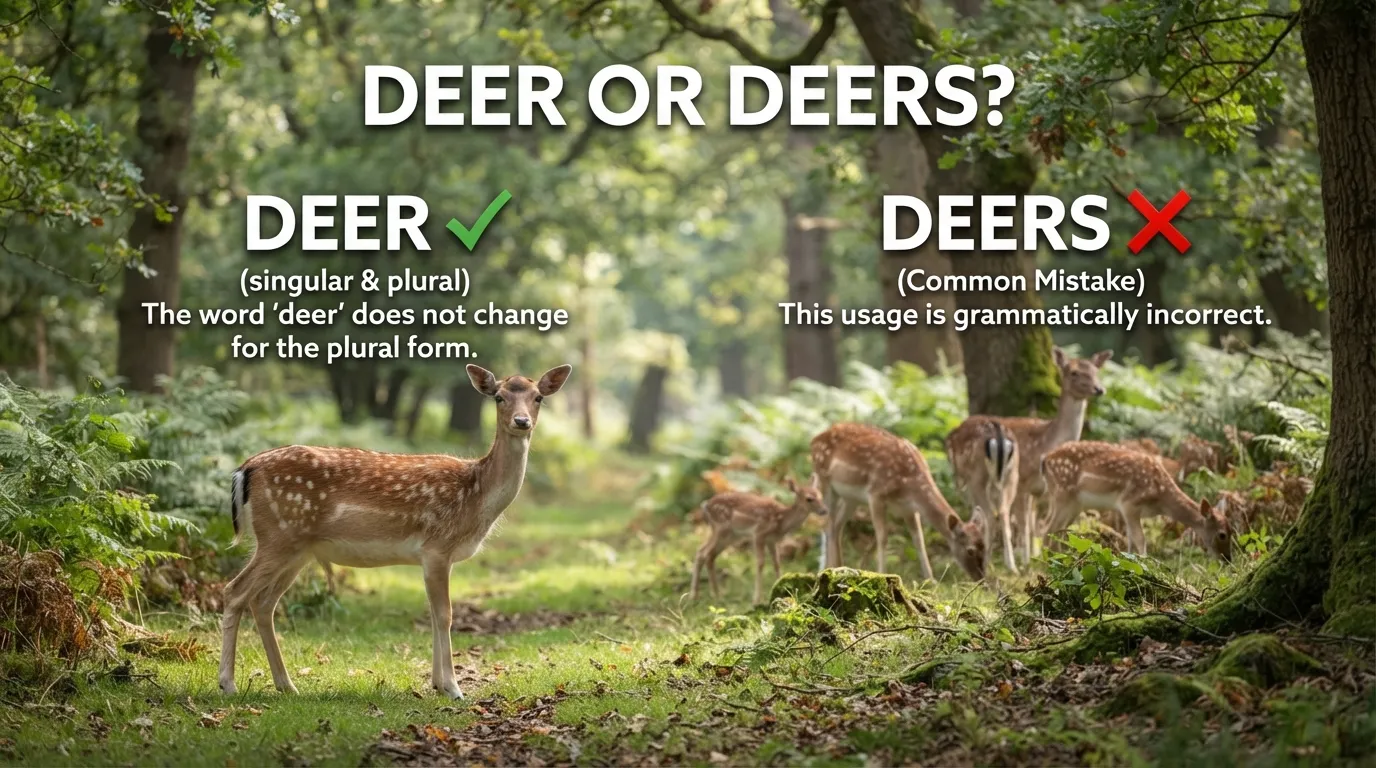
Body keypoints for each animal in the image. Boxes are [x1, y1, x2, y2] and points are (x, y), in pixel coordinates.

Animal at [219, 363, 572, 700]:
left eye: (538, 397)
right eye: (499, 397)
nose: (521, 421)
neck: (476, 495)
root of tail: (245, 469)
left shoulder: (435, 557)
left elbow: (433, 615)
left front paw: (437, 684)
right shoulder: (437, 547)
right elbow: (445, 614)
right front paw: (454, 688)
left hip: (297, 549)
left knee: (263, 602)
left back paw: (286, 685)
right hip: (278, 536)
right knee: (234, 591)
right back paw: (228, 684)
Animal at [689, 476, 829, 604]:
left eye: (821, 496)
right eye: (809, 499)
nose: (824, 510)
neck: (781, 521)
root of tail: (705, 506)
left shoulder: (772, 540)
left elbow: (776, 563)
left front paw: (780, 586)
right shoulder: (758, 534)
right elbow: (760, 563)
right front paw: (756, 599)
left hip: (729, 536)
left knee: (706, 554)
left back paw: (712, 594)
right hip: (721, 529)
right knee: (704, 553)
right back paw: (702, 595)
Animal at [811, 423, 987, 582]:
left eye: (984, 547)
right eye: (970, 550)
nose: (981, 579)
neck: (909, 484)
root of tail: (814, 440)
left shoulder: (909, 509)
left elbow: (919, 540)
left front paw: (931, 581)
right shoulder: (875, 494)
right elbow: (882, 537)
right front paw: (881, 574)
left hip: (851, 498)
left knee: (836, 526)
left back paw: (838, 567)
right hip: (825, 480)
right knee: (827, 525)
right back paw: (830, 568)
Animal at [946, 347, 1113, 567]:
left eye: (1096, 370)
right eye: (1074, 372)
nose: (1099, 389)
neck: (1045, 444)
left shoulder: (1037, 490)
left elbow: (1032, 524)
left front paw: (1032, 557)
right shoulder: (1025, 485)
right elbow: (1027, 523)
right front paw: (1027, 558)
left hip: (984, 477)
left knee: (990, 512)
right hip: (985, 478)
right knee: (992, 512)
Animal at [1038, 440, 1233, 560]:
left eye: (1232, 532)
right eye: (1222, 534)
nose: (1227, 559)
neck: (1161, 498)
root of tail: (1045, 460)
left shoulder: (1127, 510)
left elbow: (1130, 538)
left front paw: (1131, 559)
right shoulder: (1129, 503)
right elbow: (1140, 538)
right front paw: (1146, 564)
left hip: (1073, 503)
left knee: (1056, 530)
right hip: (1063, 495)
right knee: (1047, 528)